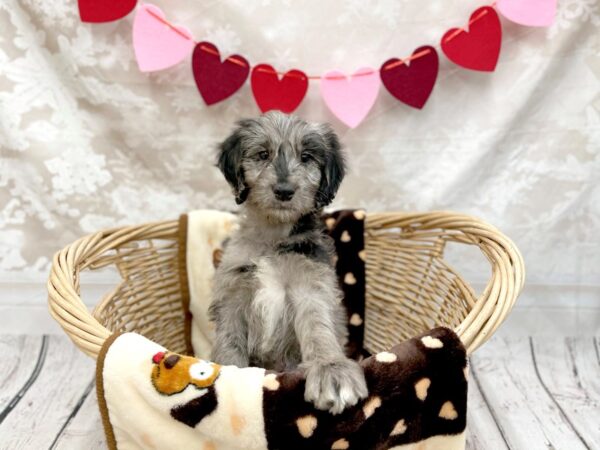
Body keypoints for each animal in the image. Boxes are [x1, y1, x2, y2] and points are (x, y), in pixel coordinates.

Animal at [211, 110, 370, 414]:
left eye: (306, 157)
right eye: (262, 154)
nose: (284, 191)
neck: (273, 237)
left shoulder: (310, 287)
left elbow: (318, 328)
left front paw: (331, 369)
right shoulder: (233, 291)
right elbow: (229, 339)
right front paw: (228, 373)